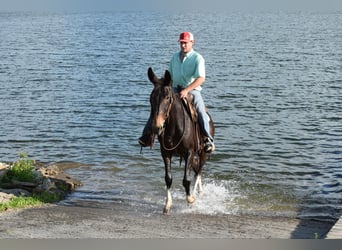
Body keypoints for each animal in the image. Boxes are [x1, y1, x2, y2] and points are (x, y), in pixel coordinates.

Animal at [146, 67, 214, 214]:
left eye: (167, 97)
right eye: (151, 98)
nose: (157, 127)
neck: (175, 127)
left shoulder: (189, 152)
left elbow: (186, 180)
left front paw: (190, 200)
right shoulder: (165, 153)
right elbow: (168, 178)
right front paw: (167, 205)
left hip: (203, 152)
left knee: (198, 172)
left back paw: (196, 194)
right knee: (197, 170)